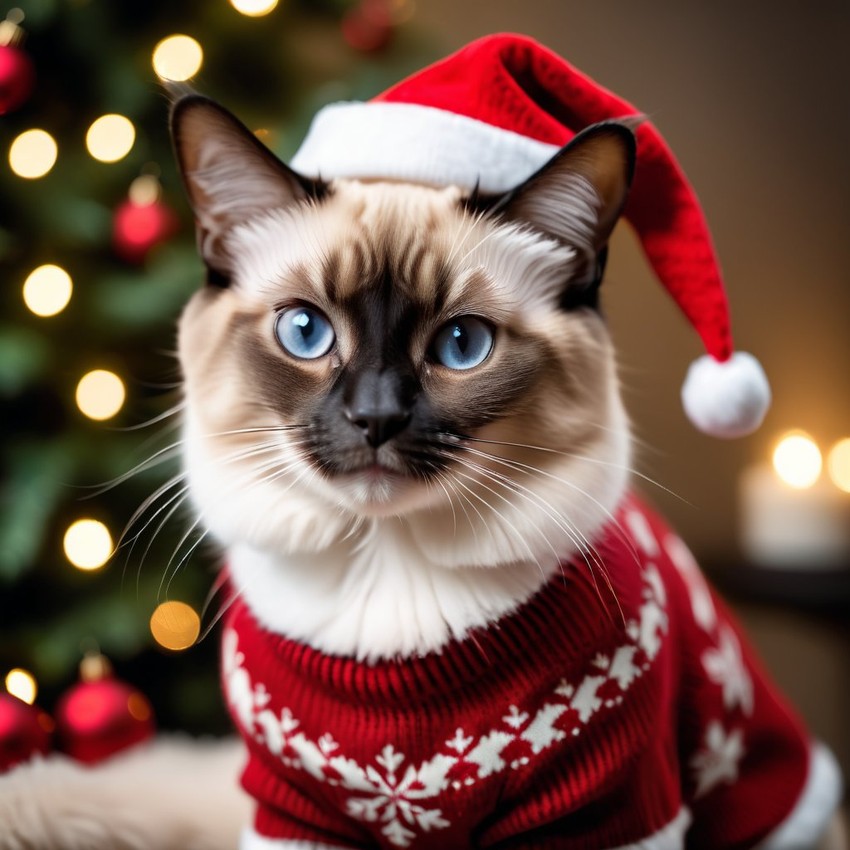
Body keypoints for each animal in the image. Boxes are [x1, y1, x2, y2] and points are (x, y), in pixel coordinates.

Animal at [164, 93, 840, 848]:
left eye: (462, 344)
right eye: (306, 332)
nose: (376, 417)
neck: (388, 575)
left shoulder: (605, 811)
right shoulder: (294, 812)